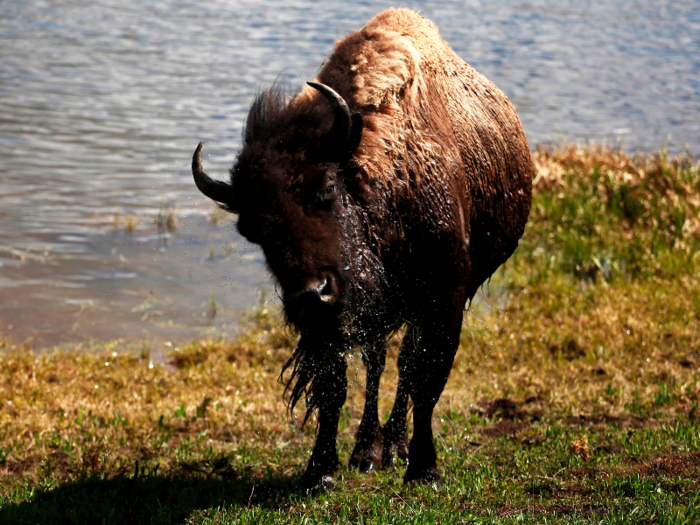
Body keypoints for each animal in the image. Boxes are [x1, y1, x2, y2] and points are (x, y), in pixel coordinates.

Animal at [191, 8, 532, 490]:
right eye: (251, 228)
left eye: (327, 188)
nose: (311, 294)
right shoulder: (337, 318)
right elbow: (334, 385)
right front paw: (320, 471)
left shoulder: (444, 300)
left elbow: (427, 380)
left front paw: (424, 468)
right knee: (378, 363)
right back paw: (369, 451)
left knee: (403, 365)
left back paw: (395, 447)